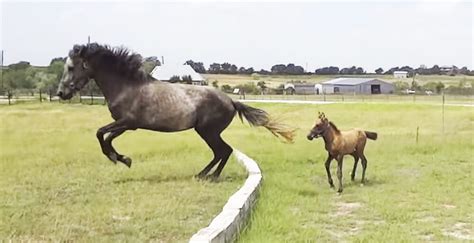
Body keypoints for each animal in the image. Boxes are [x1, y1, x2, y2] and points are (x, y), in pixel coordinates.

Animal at [54, 43, 292, 179]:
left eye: (71, 67)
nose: (61, 93)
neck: (127, 86)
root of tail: (232, 102)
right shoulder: (126, 125)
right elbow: (106, 137)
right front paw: (122, 158)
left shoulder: (128, 122)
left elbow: (100, 134)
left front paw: (120, 158)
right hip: (206, 132)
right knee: (221, 152)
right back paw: (202, 174)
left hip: (208, 131)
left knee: (224, 151)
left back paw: (209, 177)